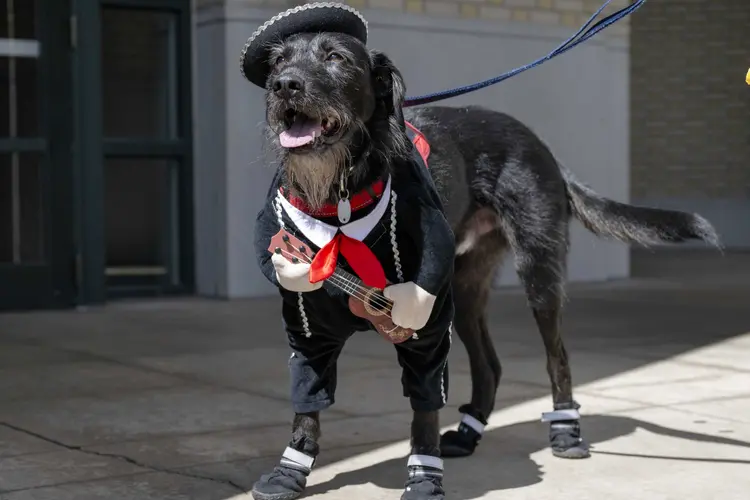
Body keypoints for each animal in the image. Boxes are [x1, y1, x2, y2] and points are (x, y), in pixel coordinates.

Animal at [248, 29, 724, 500]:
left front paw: (424, 479)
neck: (340, 196)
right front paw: (290, 471)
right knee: (490, 366)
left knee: (558, 357)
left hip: (537, 273)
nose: (284, 85)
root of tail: (541, 146)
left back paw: (566, 431)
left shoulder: (425, 327)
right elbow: (306, 405)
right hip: (463, 291)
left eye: (336, 57)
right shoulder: (311, 332)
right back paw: (468, 431)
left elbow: (424, 410)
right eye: (278, 61)